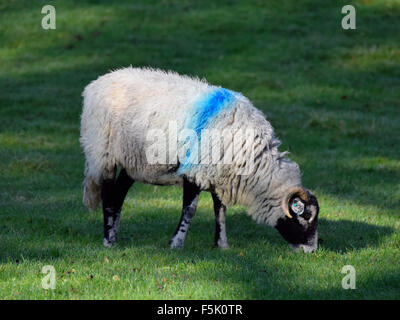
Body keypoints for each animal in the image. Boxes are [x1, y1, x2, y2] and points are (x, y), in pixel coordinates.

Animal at [79, 67, 320, 252]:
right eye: (305, 217)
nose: (311, 251)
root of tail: (96, 83)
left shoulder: (220, 175)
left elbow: (220, 211)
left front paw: (222, 245)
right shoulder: (194, 171)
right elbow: (190, 210)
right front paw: (176, 244)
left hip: (133, 163)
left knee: (118, 195)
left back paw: (115, 236)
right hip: (103, 154)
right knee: (108, 195)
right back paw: (108, 240)